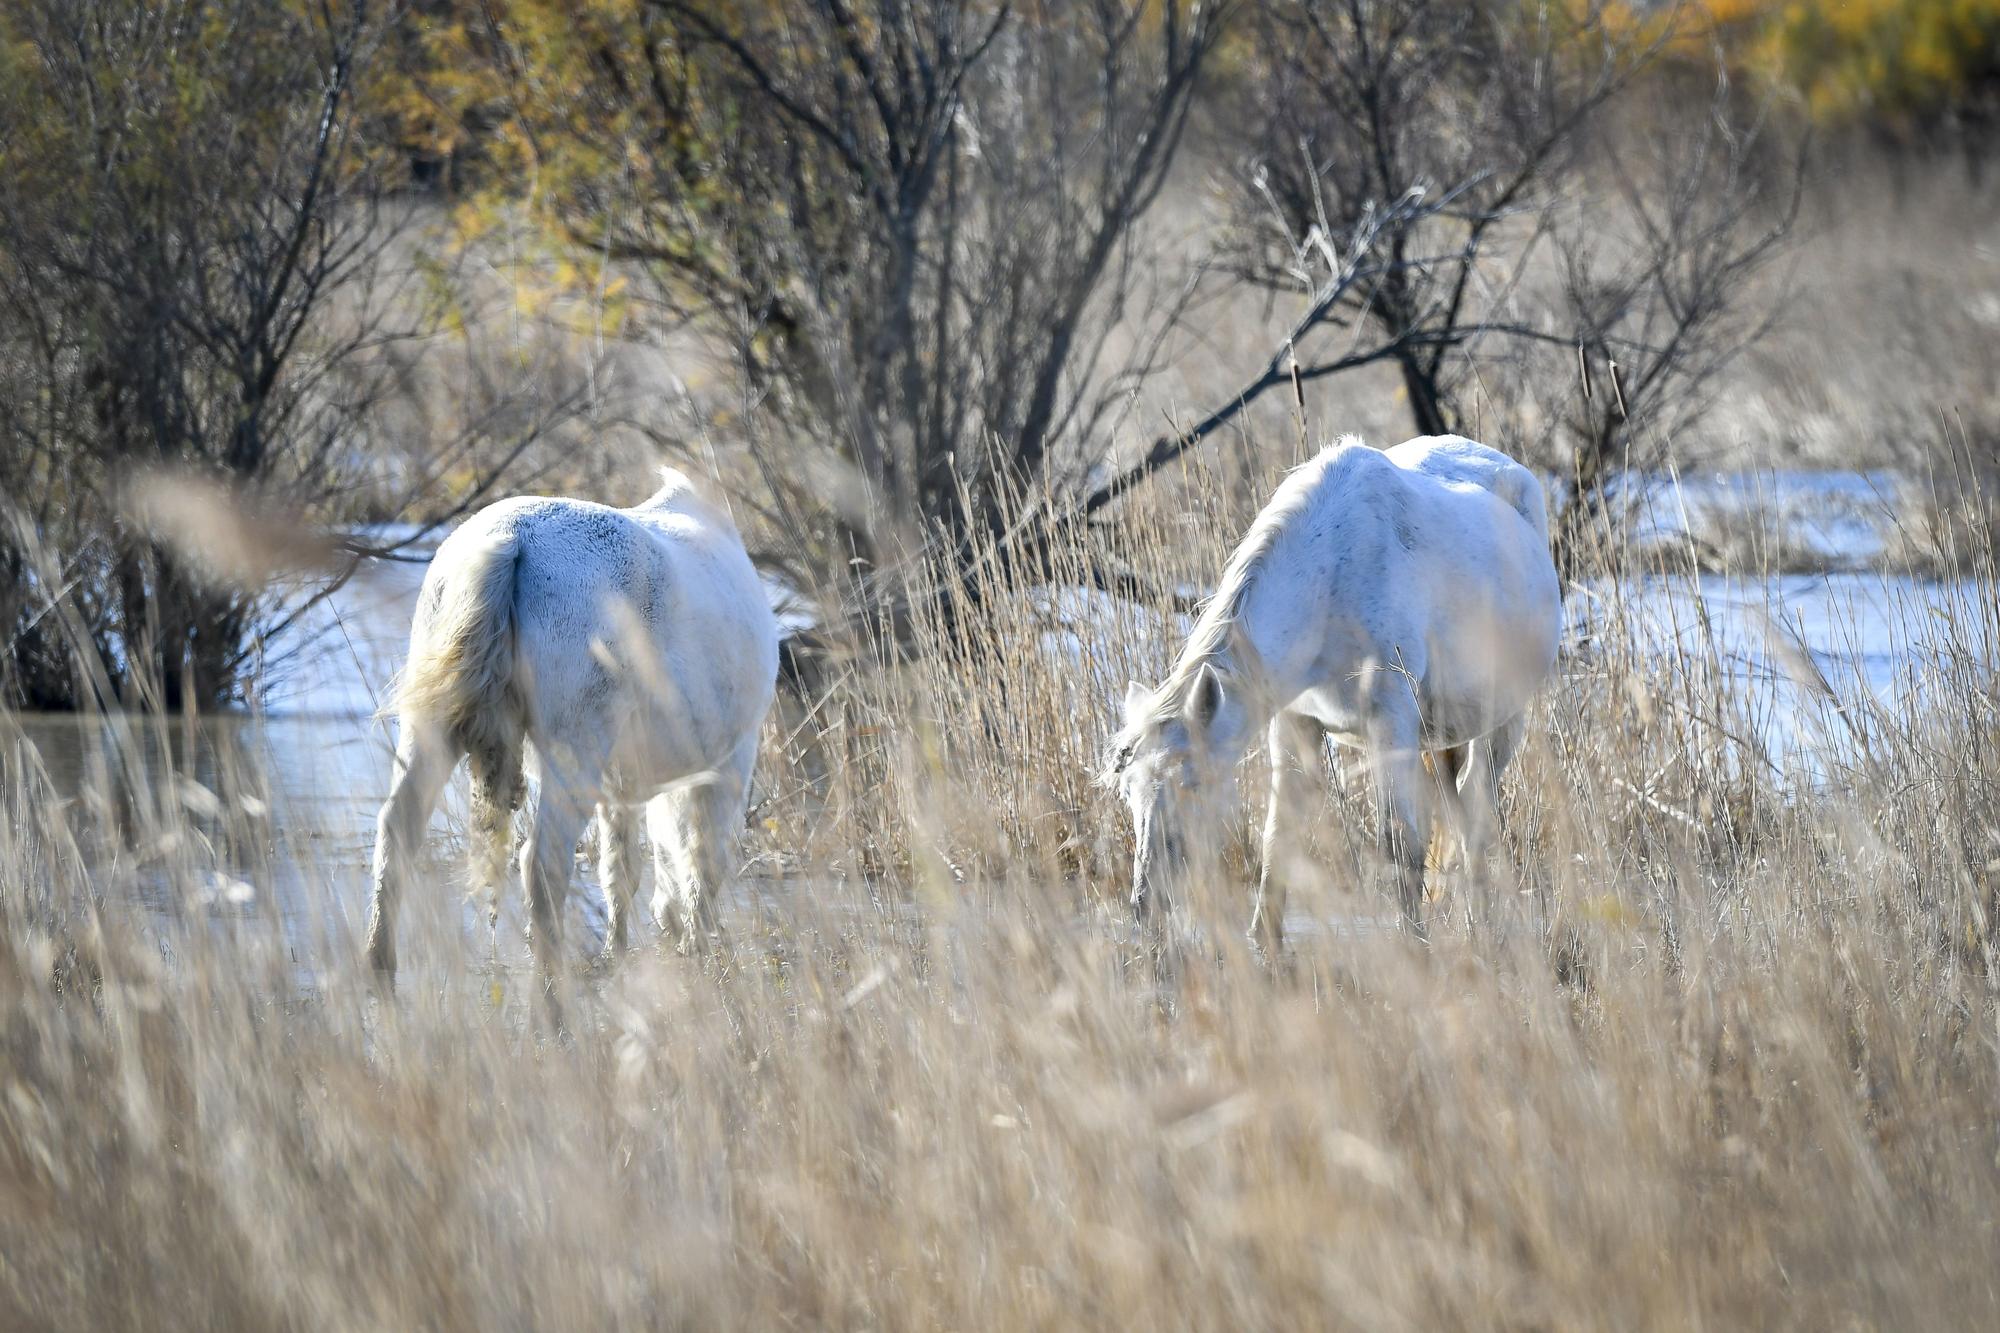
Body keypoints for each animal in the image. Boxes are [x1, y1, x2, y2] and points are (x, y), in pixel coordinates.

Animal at [368, 464, 780, 976]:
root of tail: (509, 539)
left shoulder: (622, 780)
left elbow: (621, 866)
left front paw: (620, 949)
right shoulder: (730, 761)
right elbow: (701, 857)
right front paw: (695, 946)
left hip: (432, 726)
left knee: (397, 828)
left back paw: (380, 967)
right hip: (576, 747)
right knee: (544, 863)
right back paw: (550, 984)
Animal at [1112, 436, 1560, 932]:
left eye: (1191, 783)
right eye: (1127, 790)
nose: (1145, 901)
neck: (1330, 584)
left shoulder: (1390, 724)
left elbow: (1399, 845)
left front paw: (1415, 942)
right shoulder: (1295, 722)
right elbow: (1278, 838)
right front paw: (1264, 939)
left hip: (1502, 723)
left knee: (1476, 810)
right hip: (1437, 740)